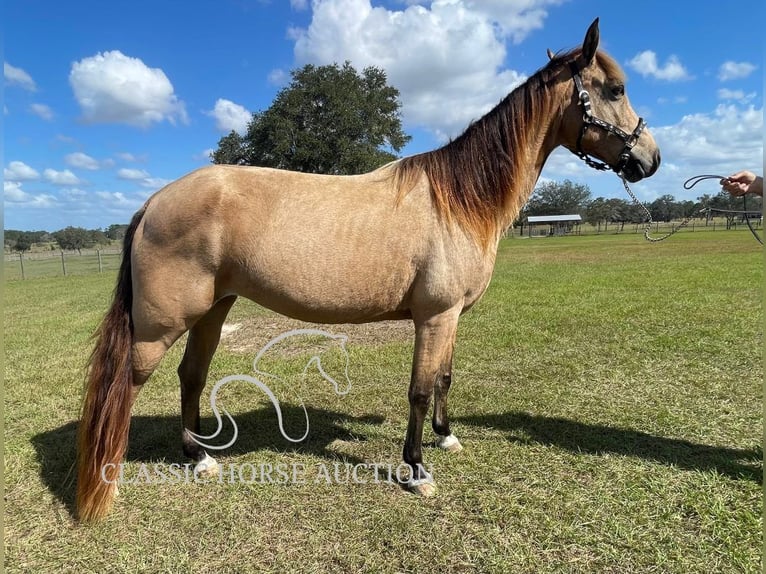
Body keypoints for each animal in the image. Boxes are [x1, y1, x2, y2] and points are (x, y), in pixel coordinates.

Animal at [81, 18, 664, 520]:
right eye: (615, 89)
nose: (650, 159)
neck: (457, 200)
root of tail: (154, 201)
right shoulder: (434, 316)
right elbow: (420, 388)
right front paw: (417, 470)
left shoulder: (451, 317)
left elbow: (444, 377)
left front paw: (447, 436)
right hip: (161, 325)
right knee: (127, 386)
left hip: (212, 311)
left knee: (192, 376)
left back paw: (201, 456)